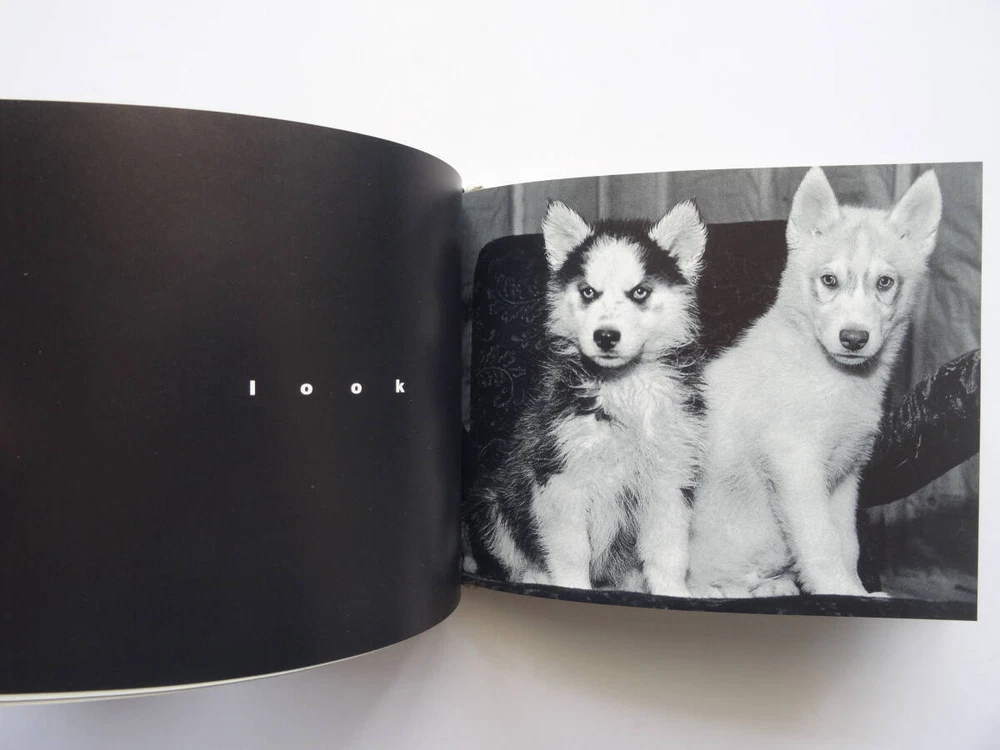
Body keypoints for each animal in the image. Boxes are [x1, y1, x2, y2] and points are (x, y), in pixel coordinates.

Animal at [465, 200, 707, 596]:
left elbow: (668, 550)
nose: (605, 336)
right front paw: (571, 589)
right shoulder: (560, 475)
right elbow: (571, 548)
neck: (623, 385)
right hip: (491, 504)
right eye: (588, 292)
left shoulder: (668, 478)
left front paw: (675, 594)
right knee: (508, 558)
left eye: (640, 292)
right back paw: (534, 576)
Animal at [686, 167, 943, 597]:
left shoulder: (846, 475)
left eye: (885, 282)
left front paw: (857, 591)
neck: (835, 379)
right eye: (829, 280)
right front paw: (840, 592)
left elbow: (847, 543)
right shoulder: (796, 465)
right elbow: (821, 542)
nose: (854, 338)